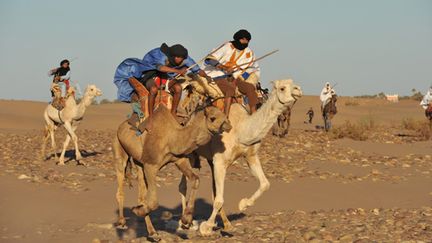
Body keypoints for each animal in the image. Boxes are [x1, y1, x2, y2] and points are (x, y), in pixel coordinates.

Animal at [113, 103, 231, 238]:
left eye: (224, 115)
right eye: (212, 118)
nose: (228, 126)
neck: (173, 138)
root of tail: (121, 126)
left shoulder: (179, 160)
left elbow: (196, 179)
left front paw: (186, 219)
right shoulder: (150, 165)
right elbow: (153, 202)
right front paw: (137, 210)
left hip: (139, 163)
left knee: (141, 195)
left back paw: (153, 233)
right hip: (119, 148)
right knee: (121, 187)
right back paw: (122, 221)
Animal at [181, 79, 302, 234]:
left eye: (294, 83)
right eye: (282, 88)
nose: (298, 90)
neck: (241, 130)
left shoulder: (250, 156)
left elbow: (265, 184)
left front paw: (243, 204)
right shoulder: (220, 161)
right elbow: (219, 199)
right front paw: (206, 227)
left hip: (208, 159)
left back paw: (225, 224)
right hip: (190, 151)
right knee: (183, 184)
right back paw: (184, 222)